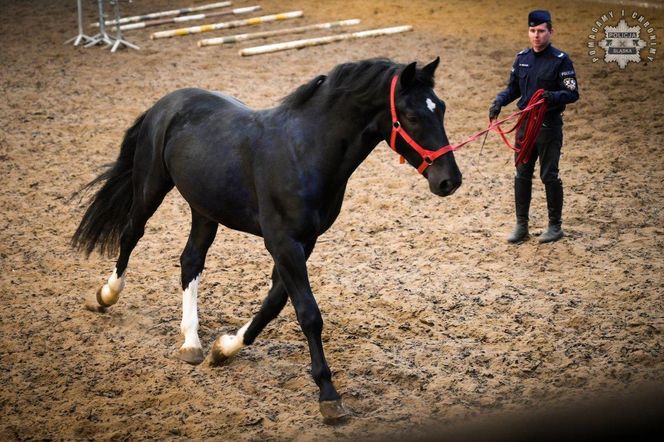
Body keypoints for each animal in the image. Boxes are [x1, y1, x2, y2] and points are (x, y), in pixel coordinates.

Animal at [72, 57, 462, 420]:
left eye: (441, 107)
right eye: (411, 116)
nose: (450, 180)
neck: (303, 151)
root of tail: (165, 102)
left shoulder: (304, 241)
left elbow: (275, 302)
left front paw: (223, 348)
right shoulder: (282, 242)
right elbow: (308, 312)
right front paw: (329, 396)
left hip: (205, 209)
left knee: (190, 261)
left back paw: (192, 343)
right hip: (150, 188)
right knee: (131, 235)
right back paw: (106, 296)